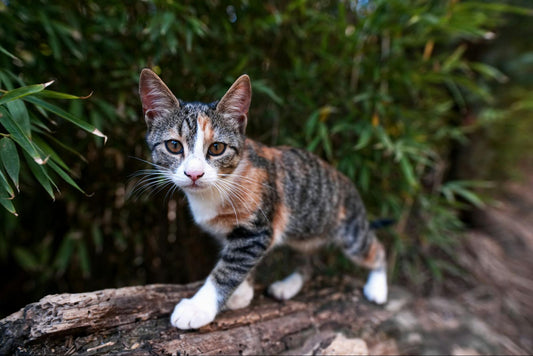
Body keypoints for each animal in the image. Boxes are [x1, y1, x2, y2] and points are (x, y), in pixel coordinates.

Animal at [137, 68, 386, 330]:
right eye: (174, 146)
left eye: (216, 148)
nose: (194, 174)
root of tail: (347, 180)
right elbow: (238, 261)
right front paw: (242, 293)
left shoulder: (258, 229)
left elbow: (229, 268)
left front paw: (199, 307)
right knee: (309, 260)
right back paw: (289, 285)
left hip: (349, 230)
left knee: (374, 249)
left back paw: (378, 288)